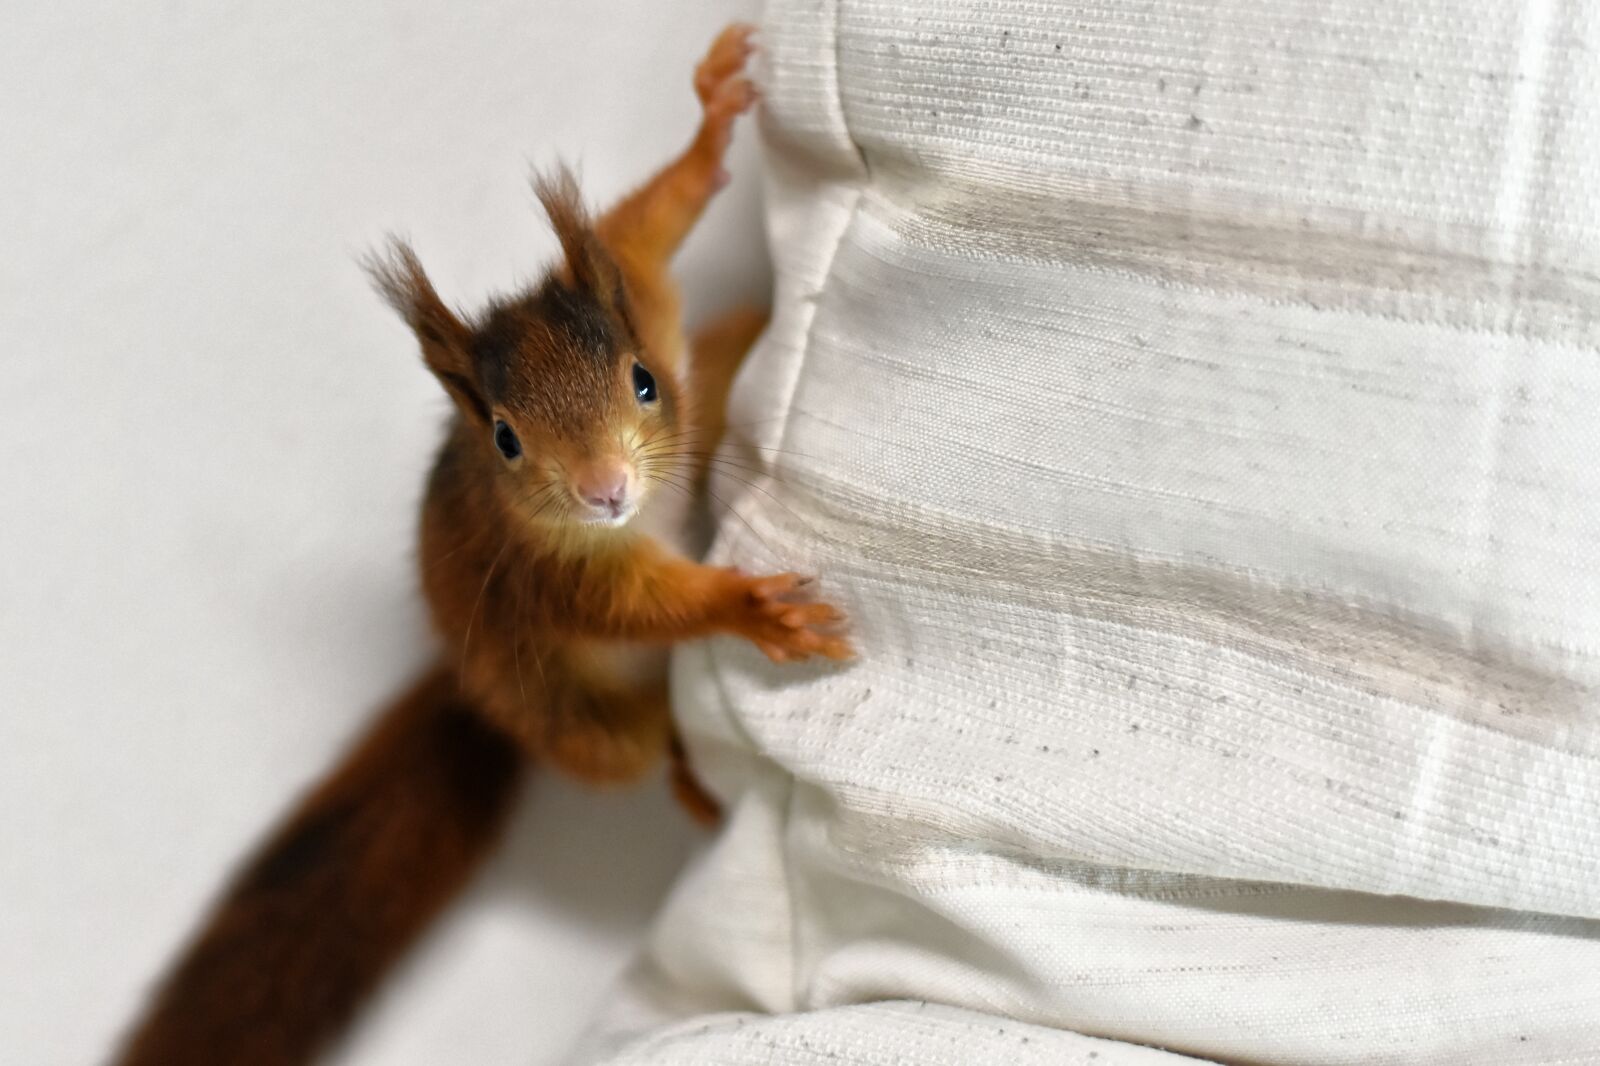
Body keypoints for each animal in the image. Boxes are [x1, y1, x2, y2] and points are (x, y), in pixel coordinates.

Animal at [113, 24, 851, 1066]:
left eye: (642, 381)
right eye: (504, 438)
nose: (604, 489)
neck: (632, 519)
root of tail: (463, 677)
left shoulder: (647, 302)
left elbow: (647, 223)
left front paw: (712, 117)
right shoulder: (553, 576)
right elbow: (640, 605)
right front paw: (754, 611)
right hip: (585, 725)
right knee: (652, 748)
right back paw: (696, 790)